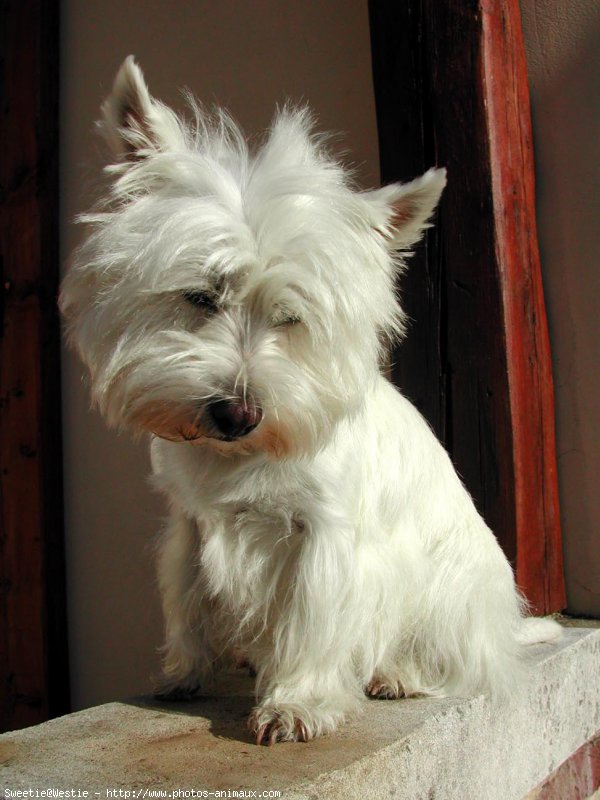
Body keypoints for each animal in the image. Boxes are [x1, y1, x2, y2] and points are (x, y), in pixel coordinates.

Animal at [58, 56, 560, 744]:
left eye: (291, 317)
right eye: (200, 296)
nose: (236, 414)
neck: (240, 461)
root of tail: (505, 625)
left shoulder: (323, 535)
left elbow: (311, 624)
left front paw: (295, 704)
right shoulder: (190, 524)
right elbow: (187, 599)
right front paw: (185, 673)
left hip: (453, 594)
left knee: (452, 659)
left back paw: (397, 673)